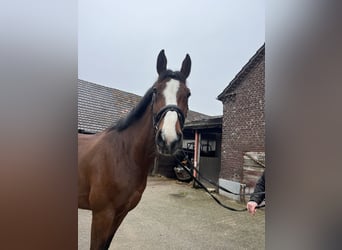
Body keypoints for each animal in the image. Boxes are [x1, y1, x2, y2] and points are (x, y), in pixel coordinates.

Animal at [78, 49, 191, 249]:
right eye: (155, 91)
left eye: (188, 94)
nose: (168, 139)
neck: (124, 155)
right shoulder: (102, 214)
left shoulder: (120, 214)